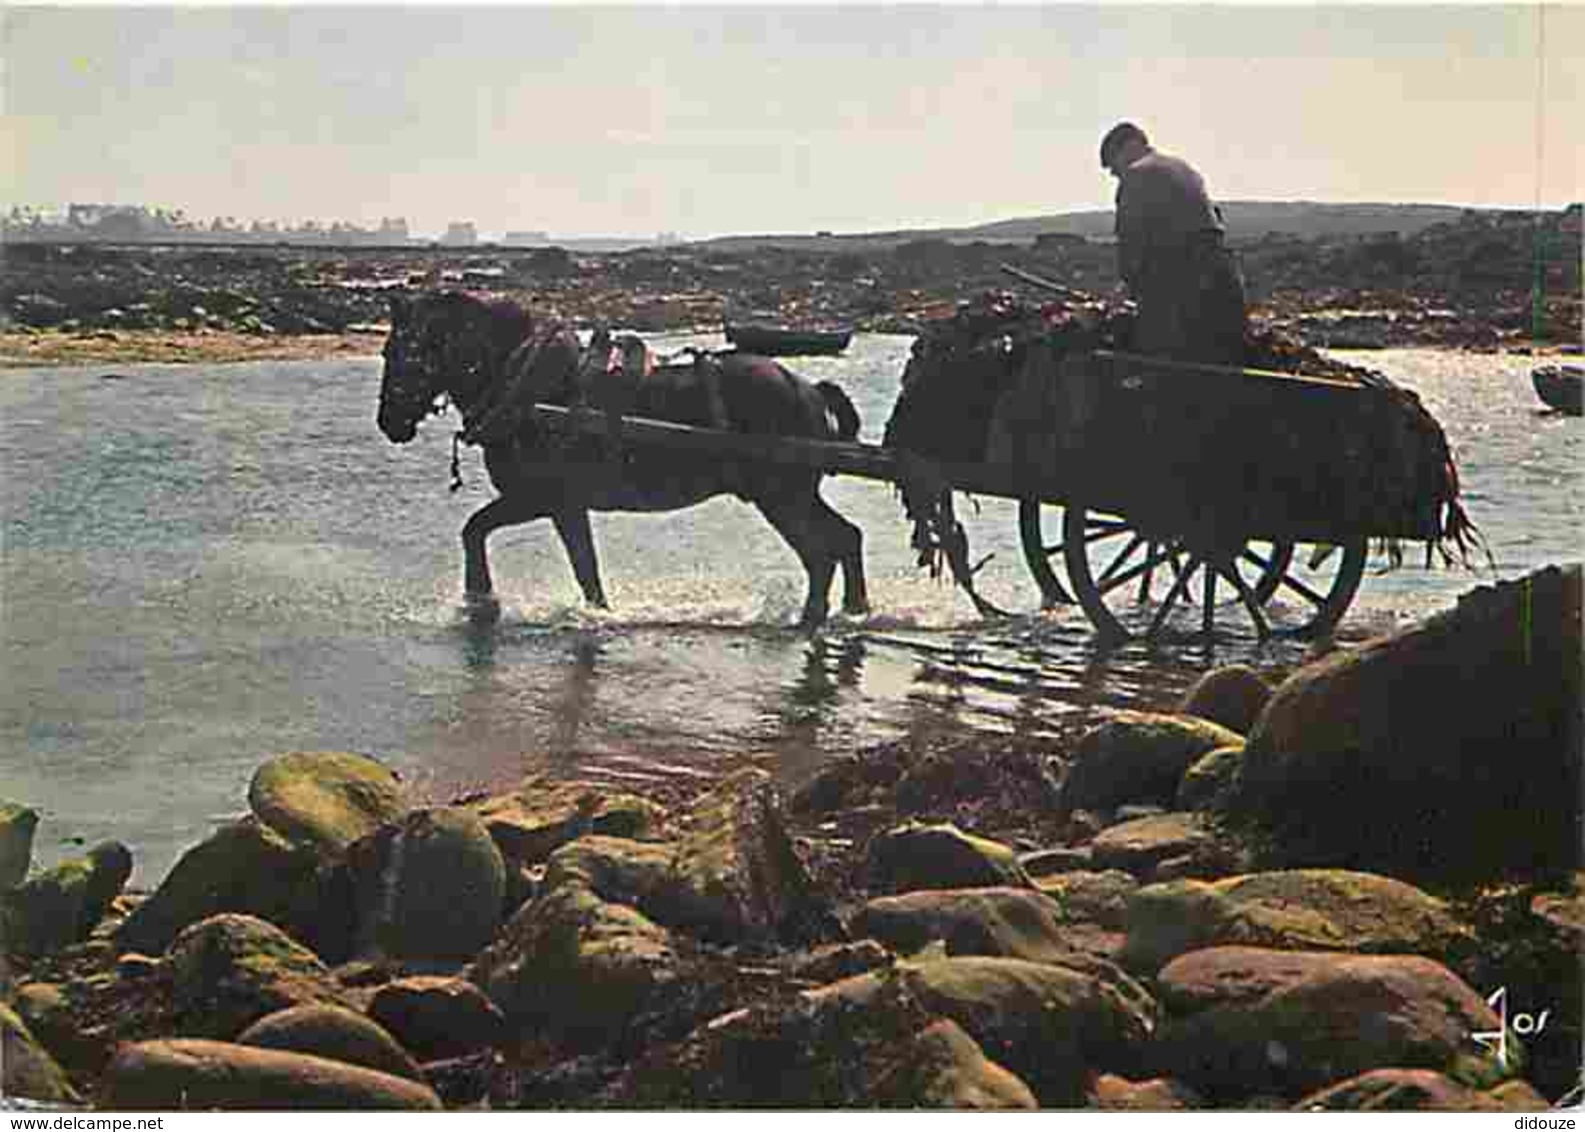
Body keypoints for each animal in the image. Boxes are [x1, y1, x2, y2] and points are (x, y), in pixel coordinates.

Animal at [374, 288, 868, 624]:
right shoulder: (555, 505)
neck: (526, 384)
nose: (387, 421)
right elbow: (556, 558)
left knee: (822, 551)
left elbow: (493, 535)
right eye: (385, 349)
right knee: (844, 538)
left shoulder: (549, 500)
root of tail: (808, 389)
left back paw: (813, 617)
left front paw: (482, 599)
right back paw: (851, 610)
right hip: (791, 495)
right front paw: (482, 601)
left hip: (782, 497)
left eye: (403, 352)